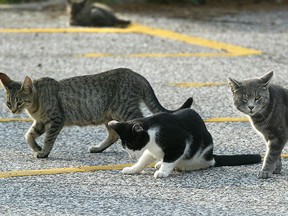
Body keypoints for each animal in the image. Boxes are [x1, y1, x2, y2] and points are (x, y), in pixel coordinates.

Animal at [0, 68, 194, 158]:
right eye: (9, 102)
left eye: (19, 101)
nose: (13, 110)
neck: (36, 103)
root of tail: (135, 74)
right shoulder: (40, 122)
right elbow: (28, 135)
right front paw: (36, 147)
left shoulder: (55, 120)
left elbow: (48, 139)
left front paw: (44, 152)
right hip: (110, 115)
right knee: (114, 134)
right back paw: (98, 148)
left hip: (125, 109)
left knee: (140, 125)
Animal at [108, 109, 260, 178]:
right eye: (125, 147)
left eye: (132, 145)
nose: (131, 156)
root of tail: (211, 156)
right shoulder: (150, 149)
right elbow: (144, 159)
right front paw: (133, 168)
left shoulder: (180, 143)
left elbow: (170, 159)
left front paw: (163, 172)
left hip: (201, 154)